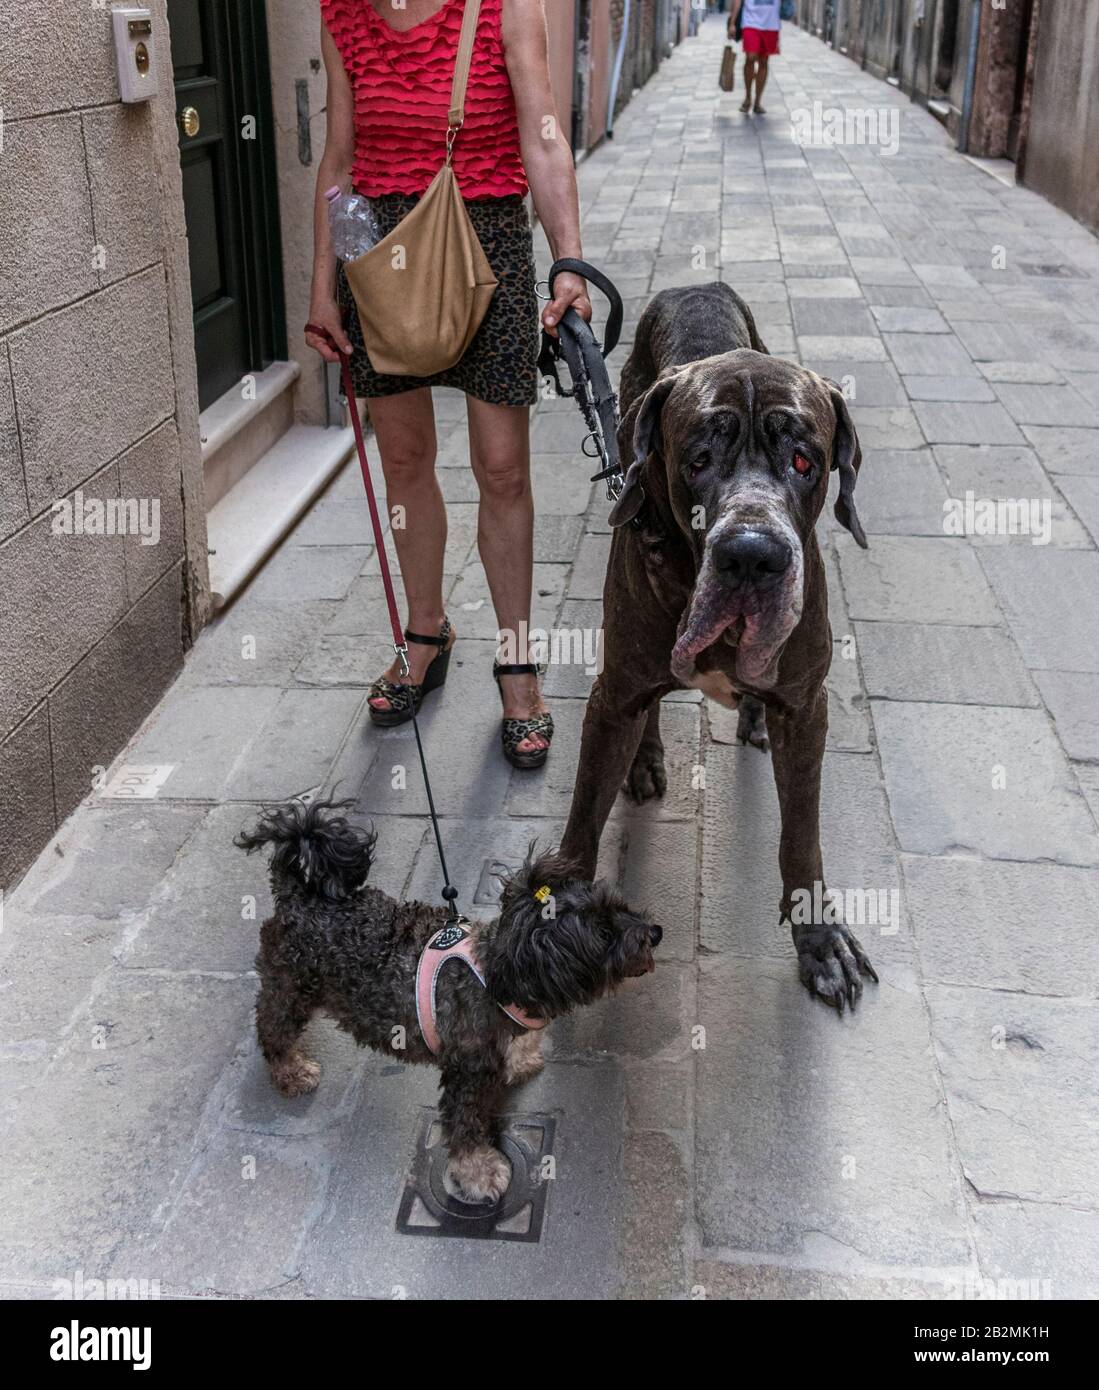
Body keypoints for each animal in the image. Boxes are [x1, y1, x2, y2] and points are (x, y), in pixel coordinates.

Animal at [236, 806, 661, 1206]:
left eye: (619, 905)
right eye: (603, 933)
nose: (655, 932)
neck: (497, 975)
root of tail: (297, 894)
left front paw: (521, 1057)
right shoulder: (466, 1075)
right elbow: (465, 1128)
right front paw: (479, 1173)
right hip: (291, 990)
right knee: (271, 1027)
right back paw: (291, 1071)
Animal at [564, 279, 883, 1011]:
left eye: (806, 461)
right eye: (697, 461)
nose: (751, 556)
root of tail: (696, 285)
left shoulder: (807, 706)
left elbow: (802, 837)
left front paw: (819, 943)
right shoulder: (614, 694)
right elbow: (583, 816)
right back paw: (646, 760)